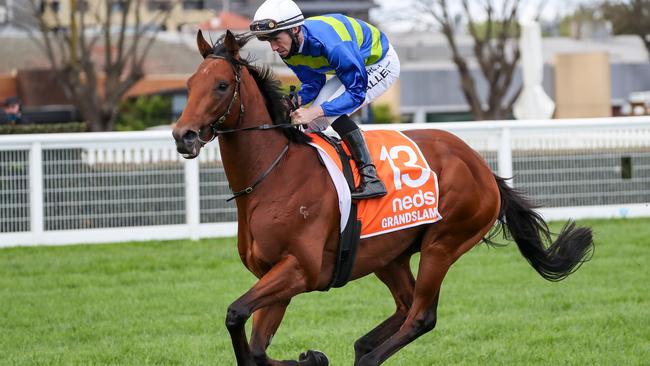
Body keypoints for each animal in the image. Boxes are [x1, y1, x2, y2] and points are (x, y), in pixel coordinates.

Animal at [171, 31, 592, 366]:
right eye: (189, 85)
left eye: (221, 85)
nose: (183, 135)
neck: (274, 177)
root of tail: (483, 169)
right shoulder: (274, 275)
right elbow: (256, 347)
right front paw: (311, 357)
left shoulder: (299, 269)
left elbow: (235, 314)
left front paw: (313, 358)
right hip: (387, 254)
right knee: (405, 306)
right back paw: (363, 345)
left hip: (443, 243)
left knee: (421, 316)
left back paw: (369, 356)